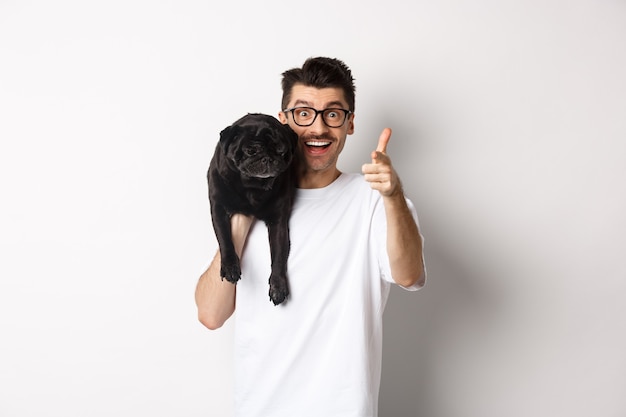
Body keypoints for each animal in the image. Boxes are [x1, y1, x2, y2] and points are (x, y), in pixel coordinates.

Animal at [207, 112, 298, 304]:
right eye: (251, 151)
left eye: (281, 151)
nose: (268, 158)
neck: (252, 187)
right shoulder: (218, 208)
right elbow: (225, 239)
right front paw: (230, 267)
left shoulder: (278, 222)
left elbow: (279, 255)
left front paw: (278, 285)